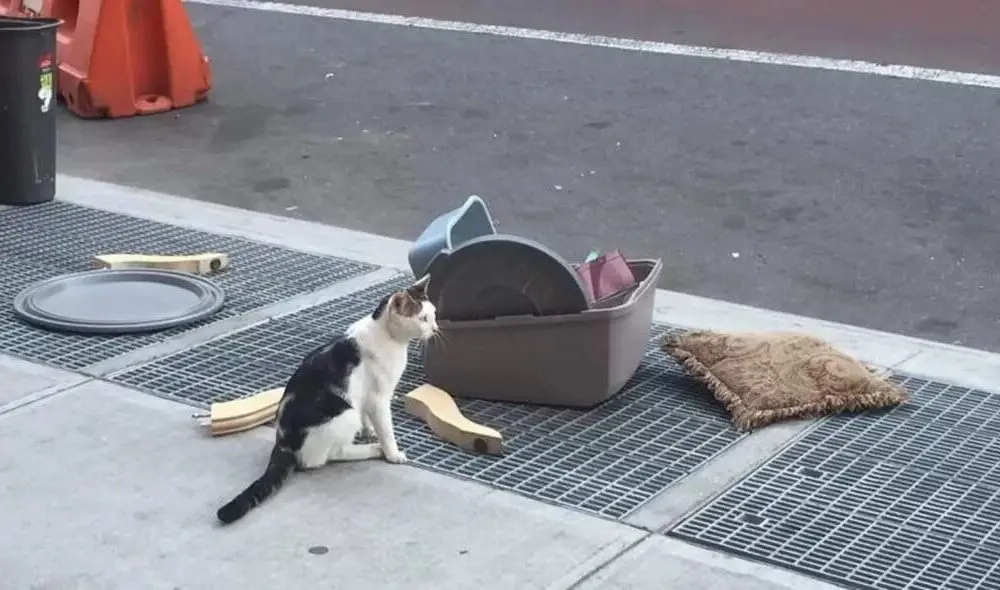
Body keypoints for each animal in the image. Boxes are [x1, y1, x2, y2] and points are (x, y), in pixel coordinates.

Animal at [215, 278, 438, 528]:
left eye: (434, 315)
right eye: (423, 318)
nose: (435, 329)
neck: (388, 337)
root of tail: (283, 442)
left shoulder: (364, 397)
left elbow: (368, 418)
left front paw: (369, 431)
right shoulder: (379, 399)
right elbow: (386, 431)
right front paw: (392, 453)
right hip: (345, 414)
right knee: (327, 456)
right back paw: (372, 449)